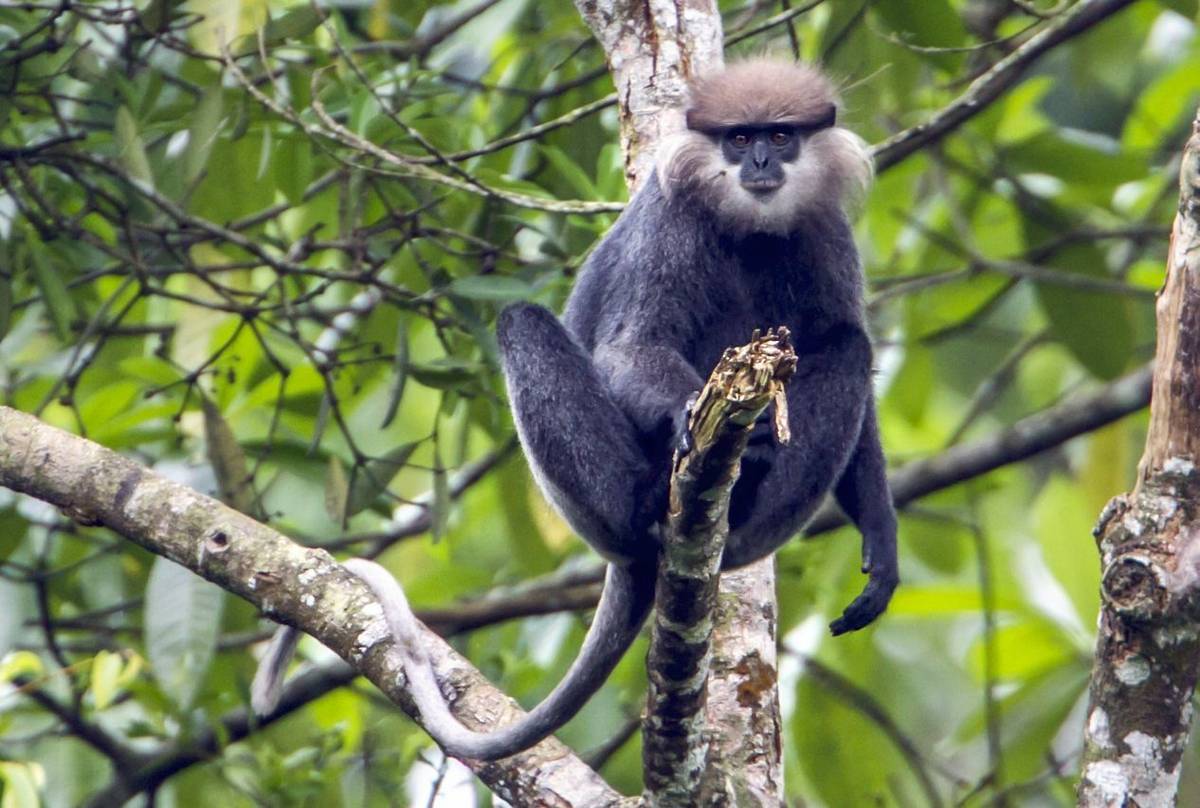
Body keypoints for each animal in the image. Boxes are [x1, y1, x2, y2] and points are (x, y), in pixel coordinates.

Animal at [253, 60, 897, 758]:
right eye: (739, 137)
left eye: (780, 136)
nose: (757, 162)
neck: (751, 229)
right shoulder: (670, 223)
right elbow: (628, 347)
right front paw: (684, 416)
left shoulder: (827, 233)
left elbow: (843, 345)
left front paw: (881, 543)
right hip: (596, 505)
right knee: (521, 321)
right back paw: (652, 497)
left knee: (848, 345)